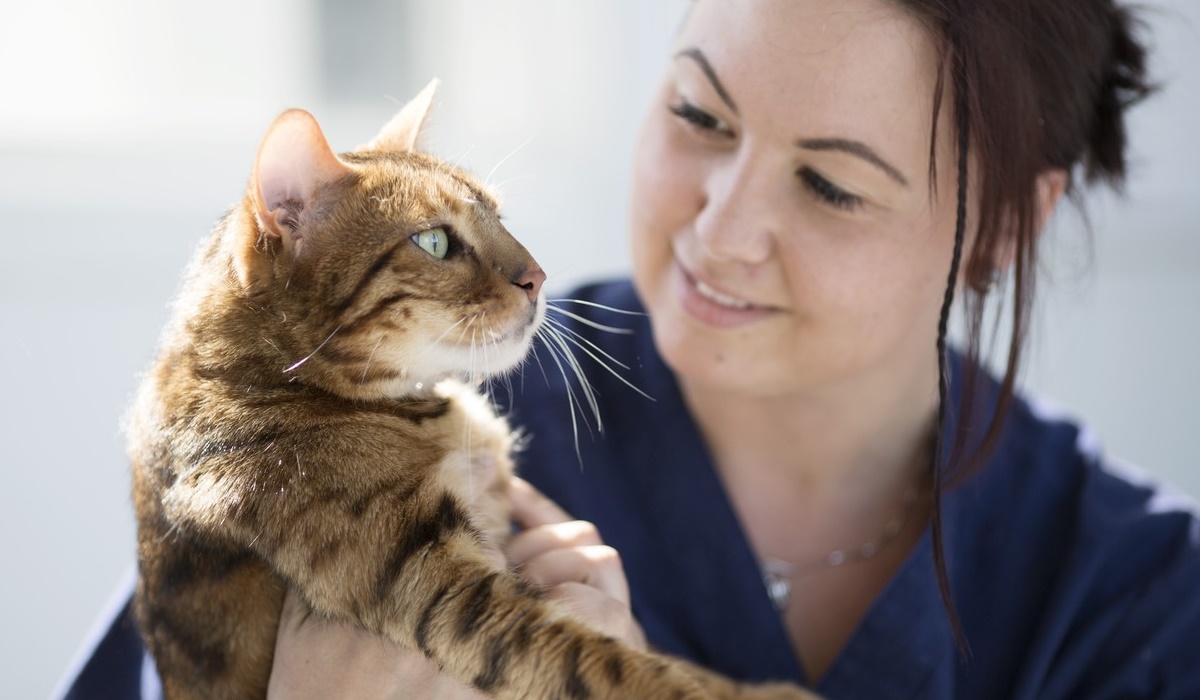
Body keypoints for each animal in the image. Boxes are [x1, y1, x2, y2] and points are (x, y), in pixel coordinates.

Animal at [131, 82, 825, 700]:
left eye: (500, 218)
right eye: (435, 241)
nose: (537, 276)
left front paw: (770, 690)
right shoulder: (437, 581)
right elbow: (608, 666)